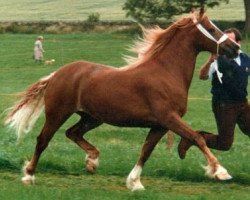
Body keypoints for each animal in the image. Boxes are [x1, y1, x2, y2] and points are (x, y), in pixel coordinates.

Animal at [4, 9, 238, 191]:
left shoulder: (160, 125)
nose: (235, 48)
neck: (167, 72)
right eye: (212, 29)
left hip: (92, 117)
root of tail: (56, 74)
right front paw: (220, 172)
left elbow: (146, 151)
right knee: (43, 140)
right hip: (58, 113)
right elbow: (197, 138)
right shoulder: (169, 118)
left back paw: (92, 161)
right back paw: (29, 175)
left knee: (73, 133)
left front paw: (135, 183)